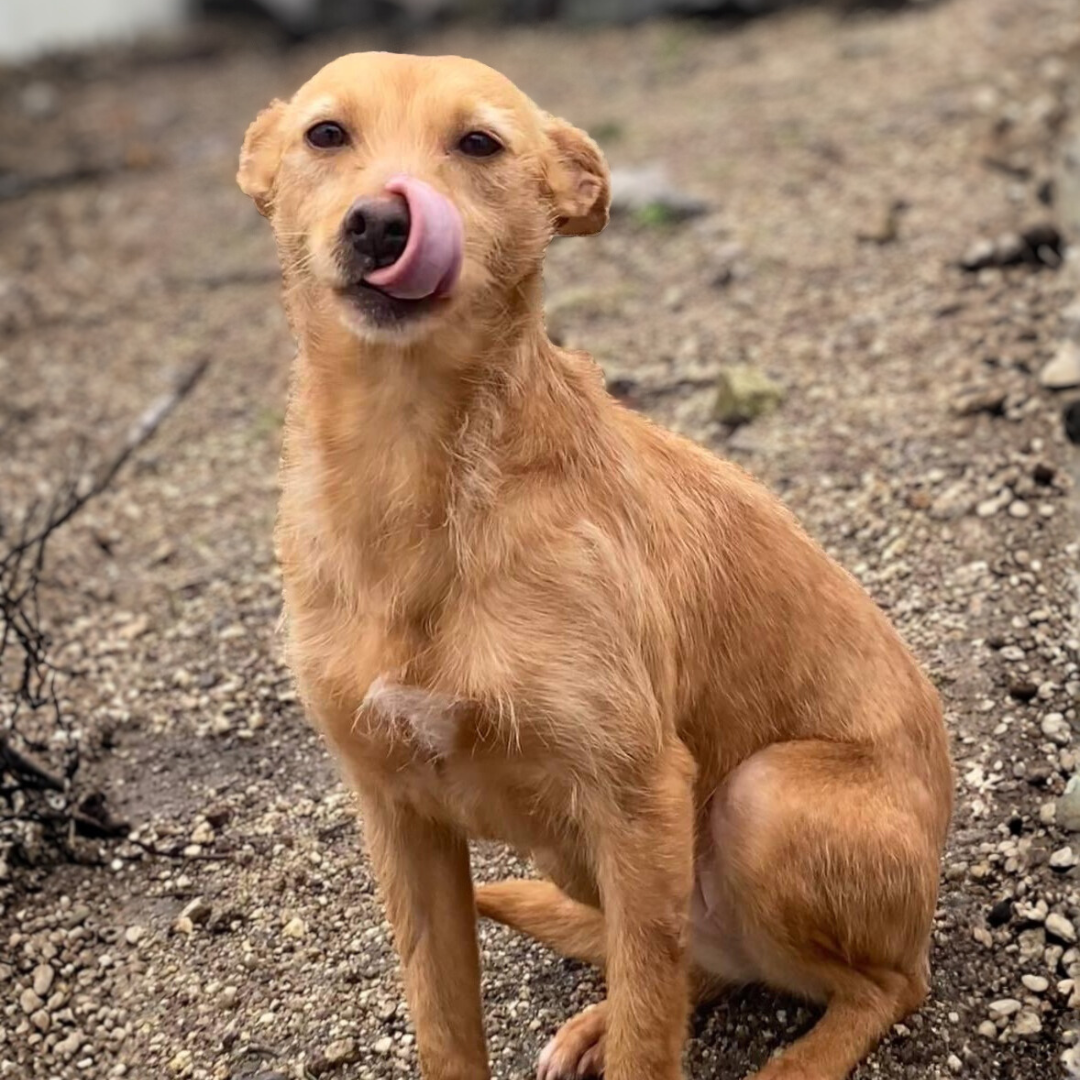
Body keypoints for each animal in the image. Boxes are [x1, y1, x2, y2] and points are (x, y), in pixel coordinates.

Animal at [238, 52, 953, 1080]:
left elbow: (653, 1045)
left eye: (479, 143)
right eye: (326, 133)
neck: (416, 474)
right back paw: (597, 1021)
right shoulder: (401, 822)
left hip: (759, 802)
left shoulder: (640, 792)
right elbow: (448, 1025)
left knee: (878, 984)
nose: (381, 222)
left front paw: (637, 1037)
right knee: (690, 963)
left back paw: (798, 1058)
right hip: (590, 858)